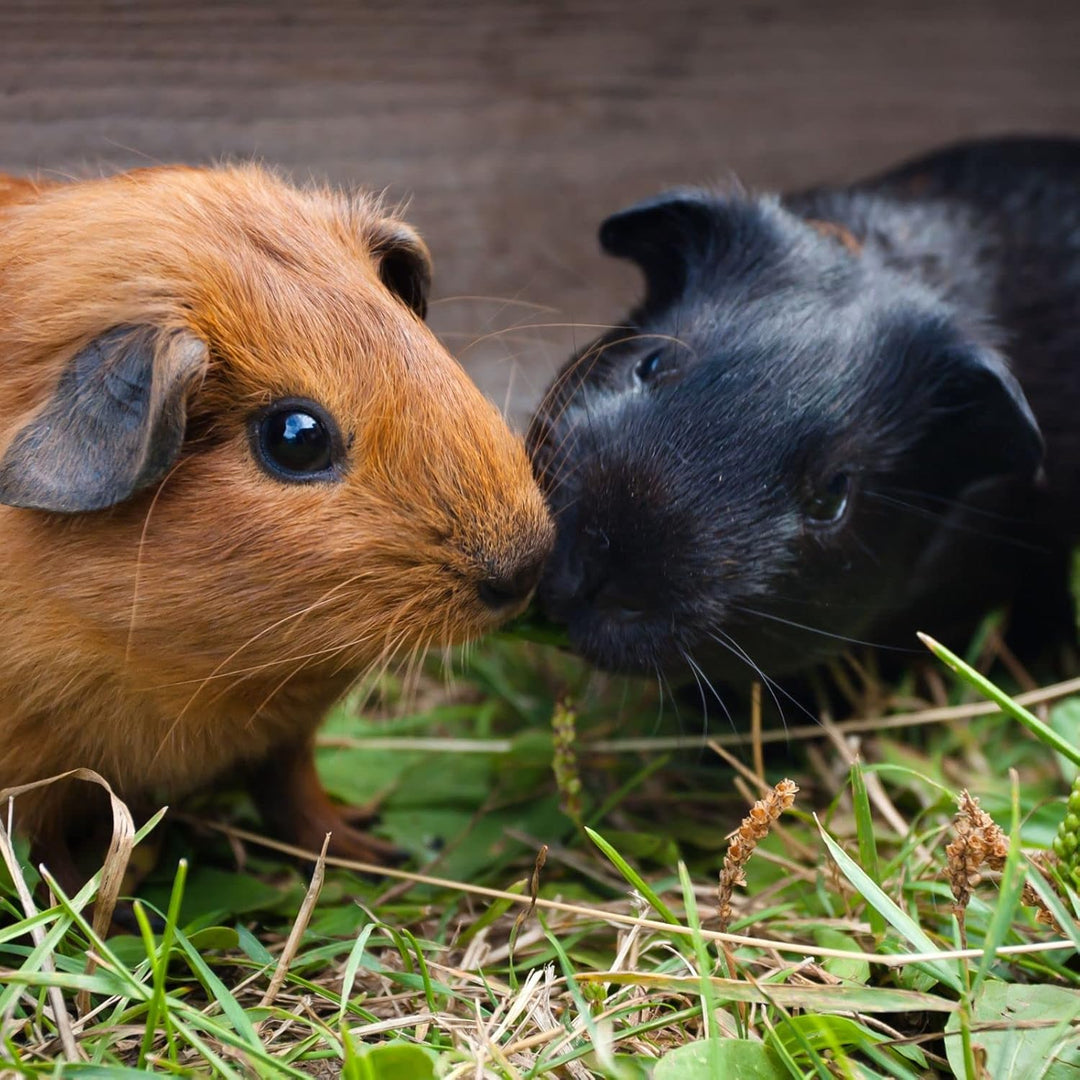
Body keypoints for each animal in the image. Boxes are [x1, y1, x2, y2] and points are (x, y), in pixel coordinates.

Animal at [0, 165, 553, 885]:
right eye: (296, 437)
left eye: (420, 339)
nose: (526, 568)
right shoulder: (37, 778)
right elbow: (45, 855)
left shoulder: (284, 739)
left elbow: (299, 801)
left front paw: (370, 852)